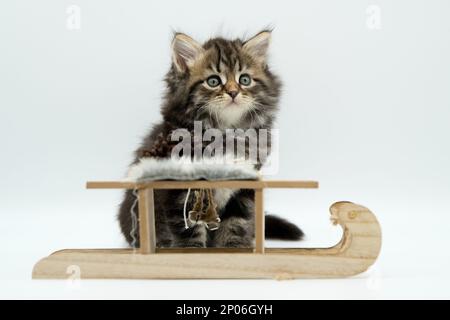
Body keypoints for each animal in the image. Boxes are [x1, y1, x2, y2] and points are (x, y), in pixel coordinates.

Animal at [118, 30, 304, 248]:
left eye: (245, 80)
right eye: (213, 81)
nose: (233, 92)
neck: (225, 134)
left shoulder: (244, 187)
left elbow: (235, 226)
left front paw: (234, 250)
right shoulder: (182, 192)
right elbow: (190, 231)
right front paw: (193, 252)